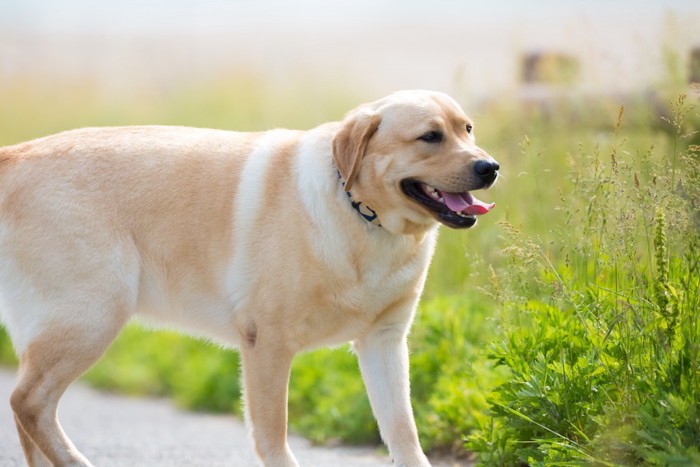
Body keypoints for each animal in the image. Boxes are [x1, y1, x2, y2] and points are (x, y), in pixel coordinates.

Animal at [2, 89, 500, 466]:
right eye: (430, 137)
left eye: (467, 129)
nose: (489, 167)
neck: (363, 216)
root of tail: (15, 154)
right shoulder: (268, 343)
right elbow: (273, 435)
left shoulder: (384, 341)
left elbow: (402, 431)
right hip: (91, 315)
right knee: (28, 403)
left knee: (30, 414)